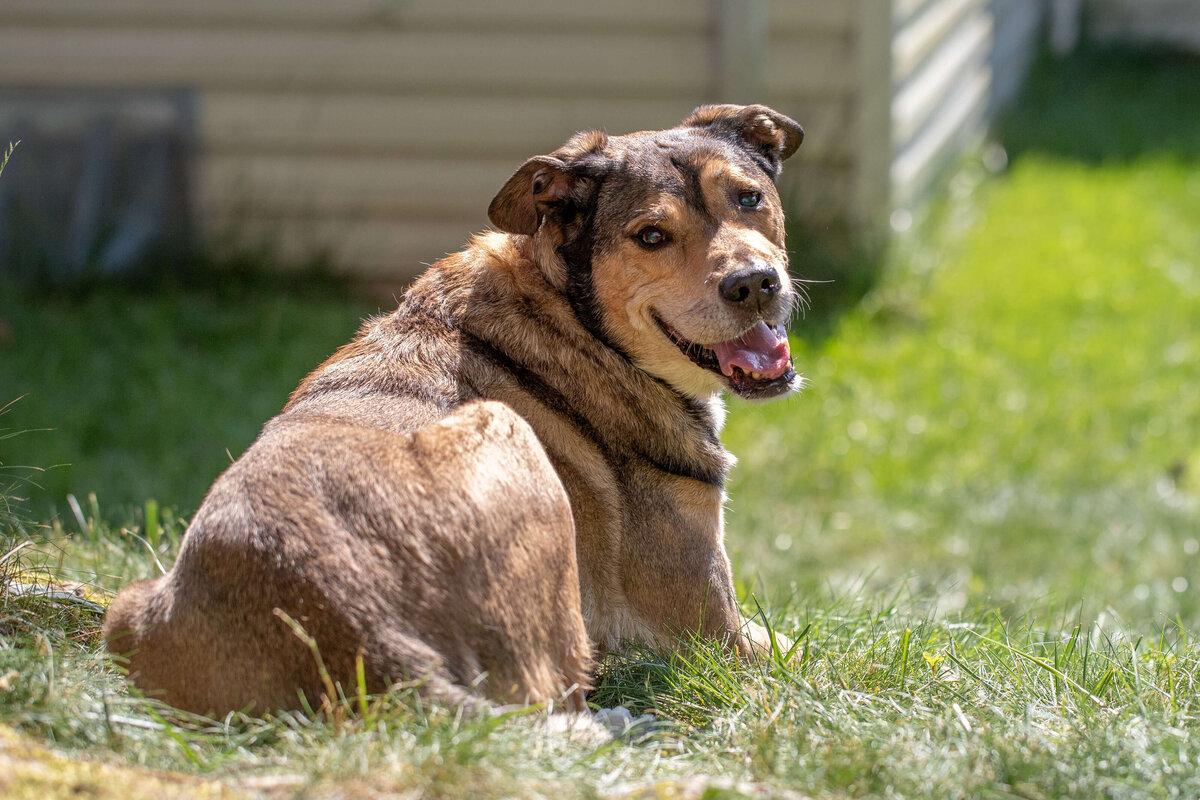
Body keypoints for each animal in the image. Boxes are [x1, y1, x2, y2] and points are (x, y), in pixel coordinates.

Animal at [103, 101, 806, 714]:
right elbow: (808, 656)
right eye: (651, 235)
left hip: (125, 609)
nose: (754, 284)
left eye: (749, 198)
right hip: (506, 437)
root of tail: (356, 627)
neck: (578, 320)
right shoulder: (714, 632)